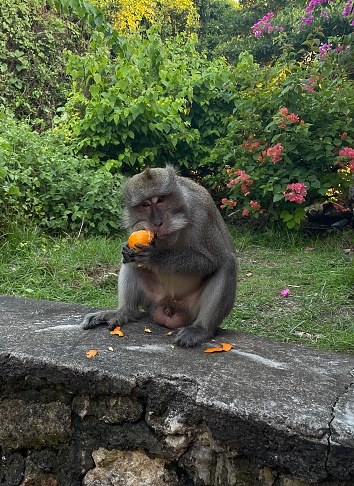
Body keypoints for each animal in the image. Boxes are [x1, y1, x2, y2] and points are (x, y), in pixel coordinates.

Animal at [82, 165, 238, 348]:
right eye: (145, 204)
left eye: (161, 200)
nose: (157, 222)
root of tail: (169, 308)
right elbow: (129, 255)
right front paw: (126, 250)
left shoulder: (201, 213)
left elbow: (212, 260)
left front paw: (156, 257)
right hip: (153, 300)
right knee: (131, 265)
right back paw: (124, 311)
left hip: (191, 309)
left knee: (228, 263)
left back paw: (201, 328)